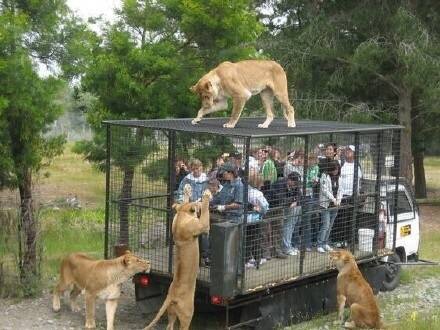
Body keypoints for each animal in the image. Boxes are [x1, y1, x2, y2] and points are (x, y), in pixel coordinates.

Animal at [144, 186, 211, 330]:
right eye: (197, 204)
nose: (198, 203)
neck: (181, 214)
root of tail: (172, 295)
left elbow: (184, 199)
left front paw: (187, 189)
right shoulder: (202, 226)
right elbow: (205, 213)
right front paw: (206, 196)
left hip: (171, 313)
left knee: (169, 326)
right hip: (187, 314)